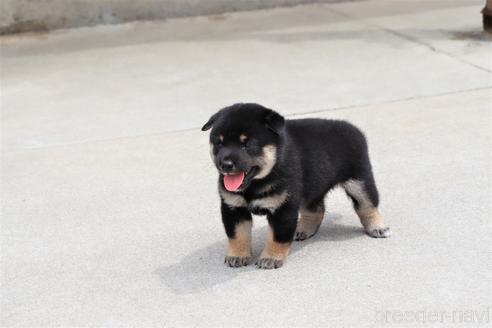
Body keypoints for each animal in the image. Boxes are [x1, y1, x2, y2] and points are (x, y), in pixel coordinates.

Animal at [202, 103, 390, 270]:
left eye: (246, 144)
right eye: (219, 143)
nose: (225, 165)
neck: (256, 183)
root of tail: (353, 129)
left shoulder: (283, 208)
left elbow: (277, 237)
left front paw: (271, 258)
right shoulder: (233, 208)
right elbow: (238, 235)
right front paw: (238, 255)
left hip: (360, 181)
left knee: (368, 206)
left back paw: (378, 227)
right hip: (311, 187)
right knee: (315, 209)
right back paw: (304, 229)